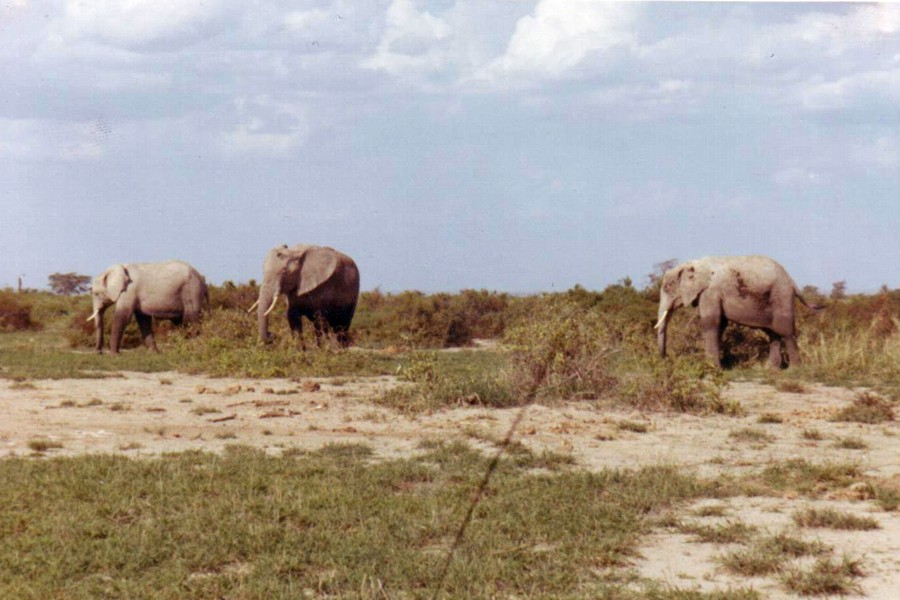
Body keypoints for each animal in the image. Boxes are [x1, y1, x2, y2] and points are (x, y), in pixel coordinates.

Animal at [655, 255, 821, 369]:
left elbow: (711, 323)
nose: (664, 359)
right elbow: (721, 324)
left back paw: (794, 369)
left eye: (667, 287)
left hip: (782, 296)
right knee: (773, 333)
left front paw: (712, 368)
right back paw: (770, 369)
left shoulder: (711, 292)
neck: (693, 264)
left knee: (786, 331)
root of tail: (792, 281)